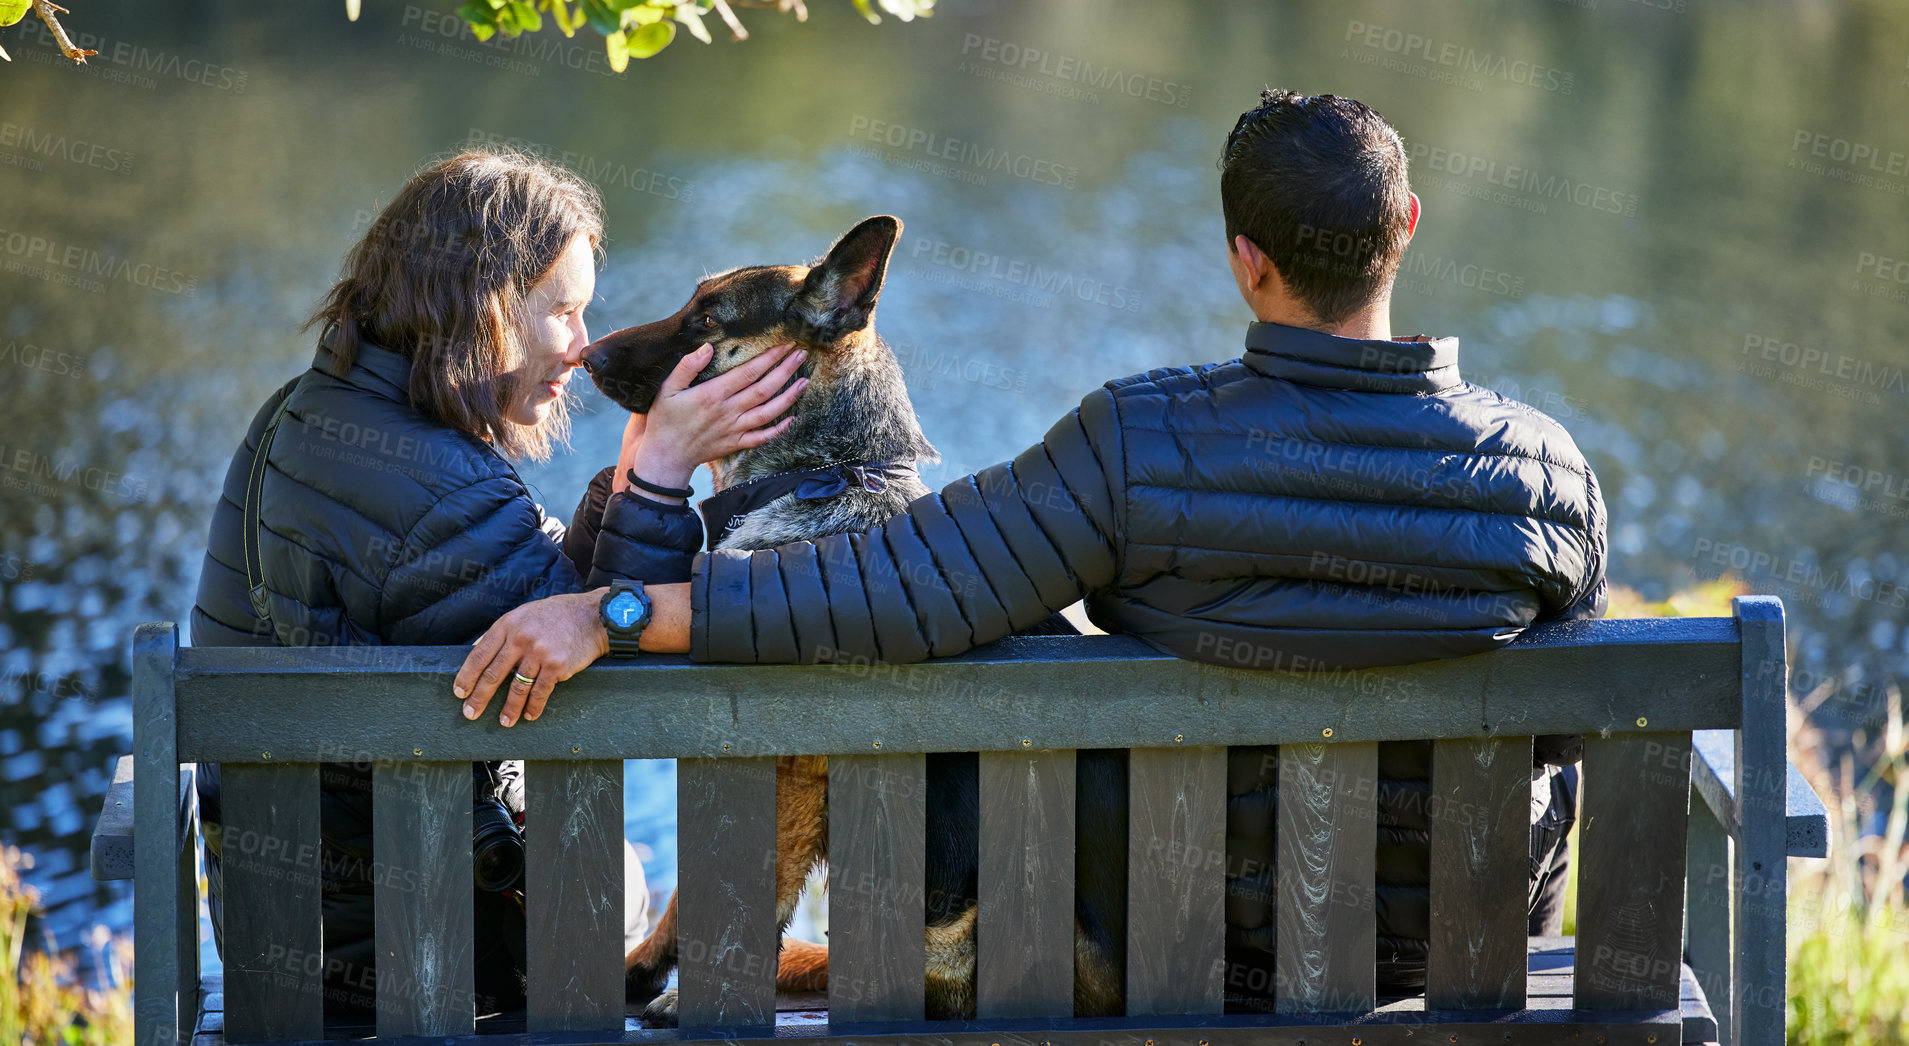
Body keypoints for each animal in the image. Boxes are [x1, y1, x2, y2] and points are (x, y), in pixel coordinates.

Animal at [572, 216, 1122, 1023]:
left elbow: (723, 896)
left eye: (706, 319)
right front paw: (648, 971)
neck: (820, 472)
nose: (586, 355)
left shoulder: (787, 773)